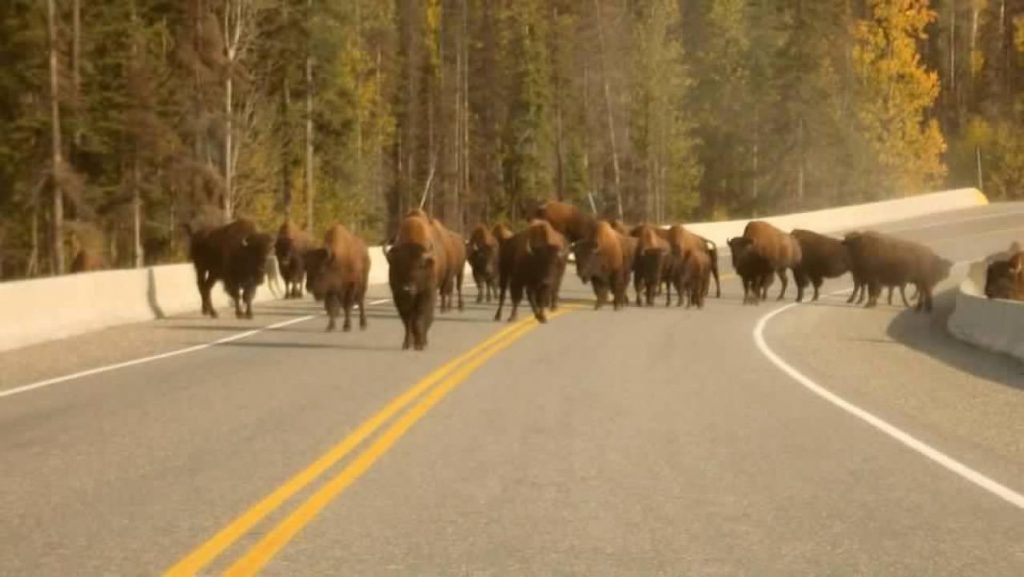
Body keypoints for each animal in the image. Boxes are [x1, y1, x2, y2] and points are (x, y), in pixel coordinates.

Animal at [385, 211, 442, 350]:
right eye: (398, 265)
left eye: (420, 265)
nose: (407, 289)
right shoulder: (399, 296)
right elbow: (407, 321)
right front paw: (406, 343)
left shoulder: (426, 293)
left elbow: (419, 318)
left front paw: (420, 344)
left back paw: (423, 341)